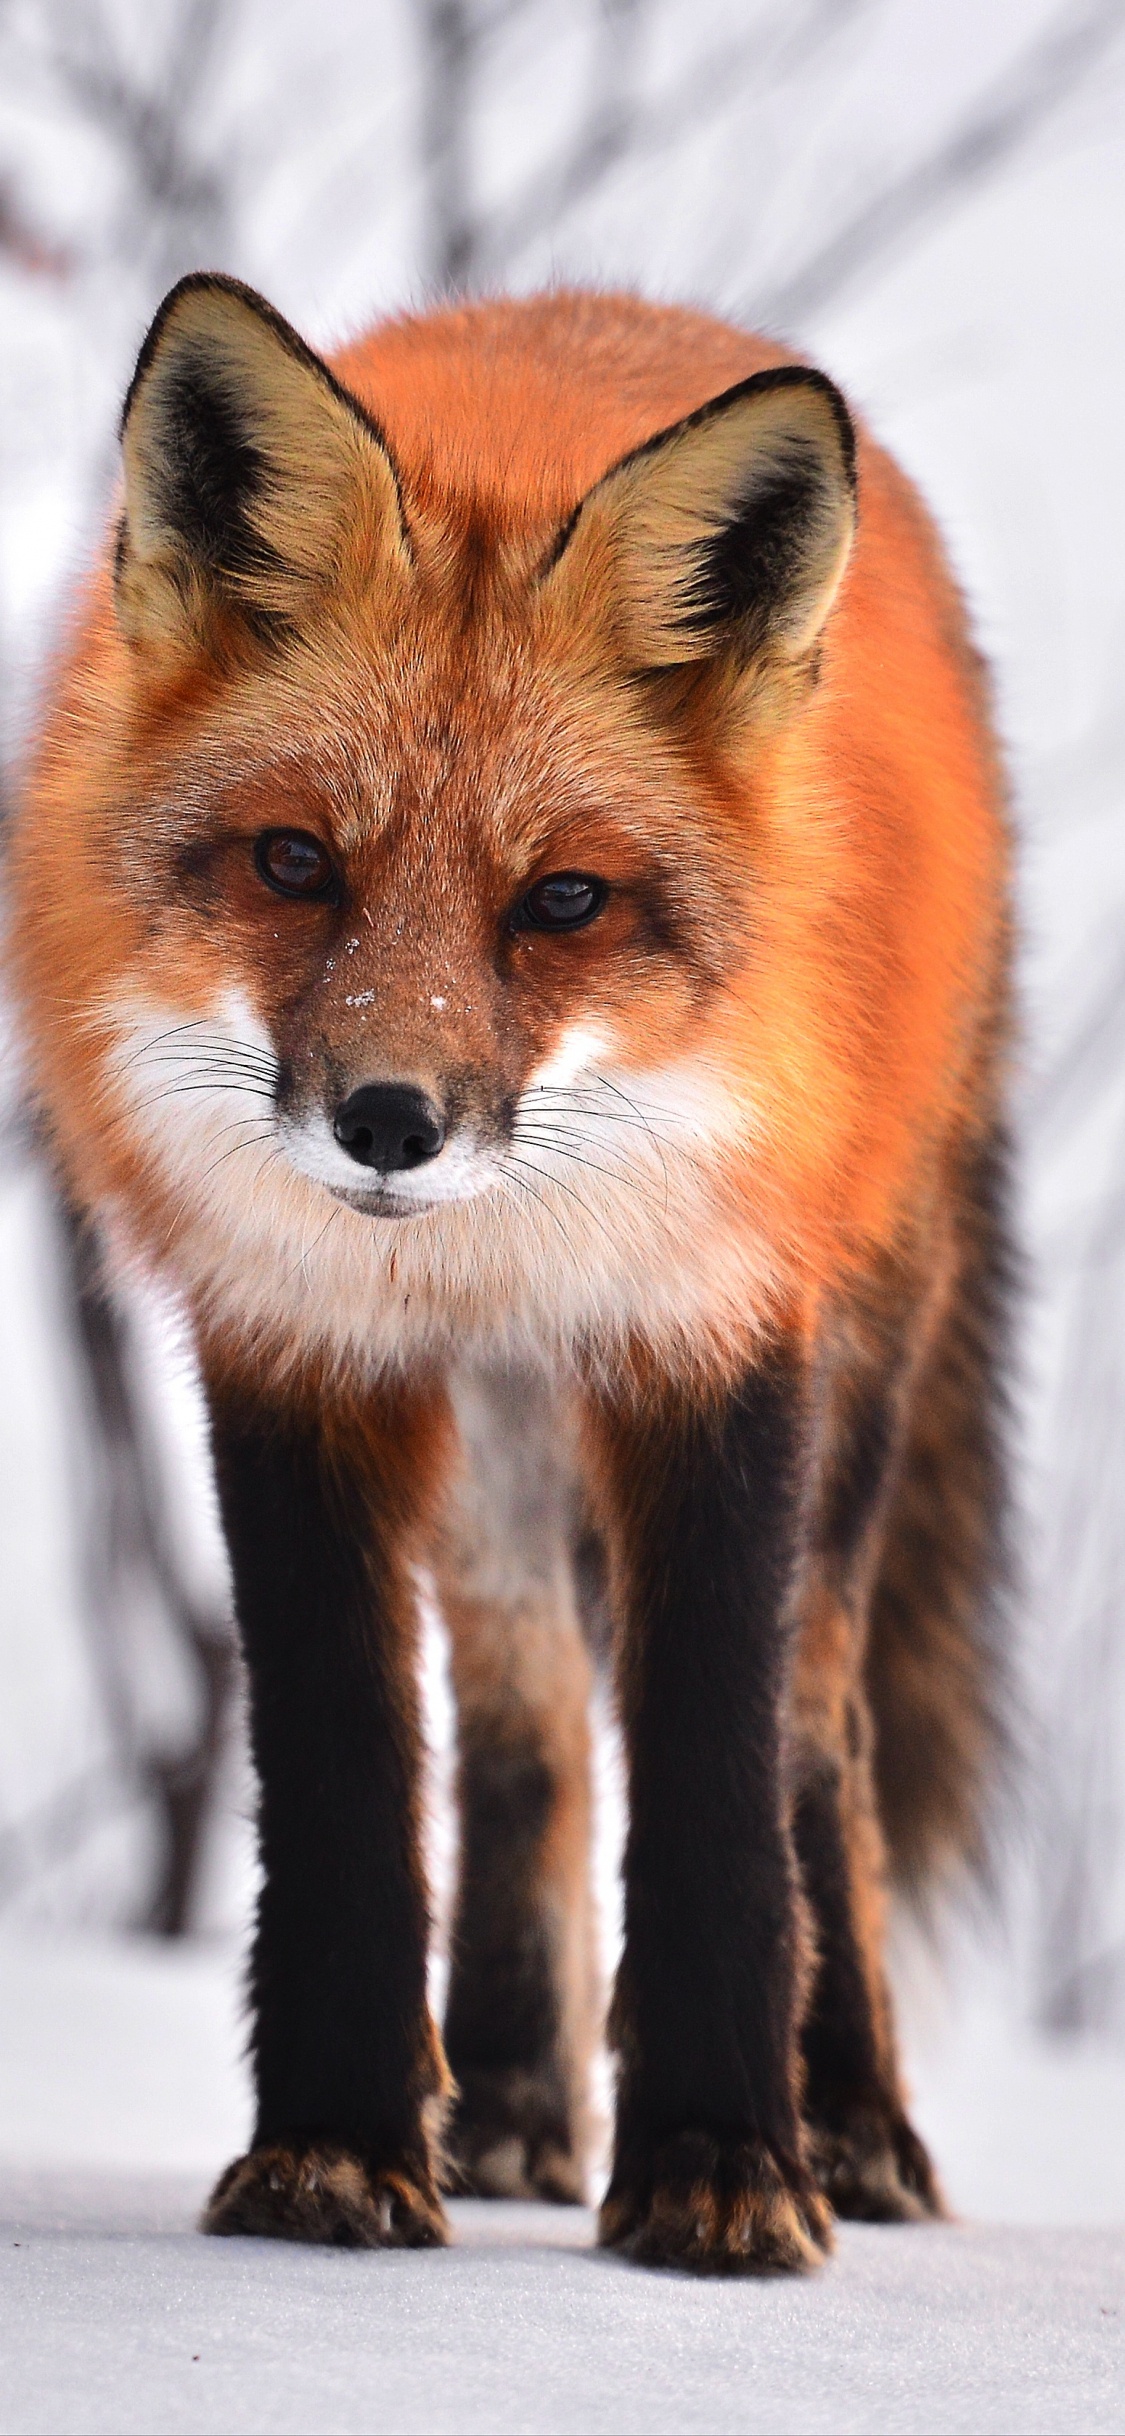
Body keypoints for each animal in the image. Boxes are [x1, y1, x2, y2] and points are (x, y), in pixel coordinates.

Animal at [7, 274, 1012, 2274]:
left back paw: (853, 2121)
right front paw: (333, 2148)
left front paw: (721, 2164)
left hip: (858, 1361)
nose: (389, 1122)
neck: (488, 1244)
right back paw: (515, 2104)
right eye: (295, 862)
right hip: (492, 1453)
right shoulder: (297, 1347)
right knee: (525, 1724)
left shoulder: (711, 1336)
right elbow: (346, 1780)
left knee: (820, 1732)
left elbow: (714, 1784)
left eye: (562, 902)